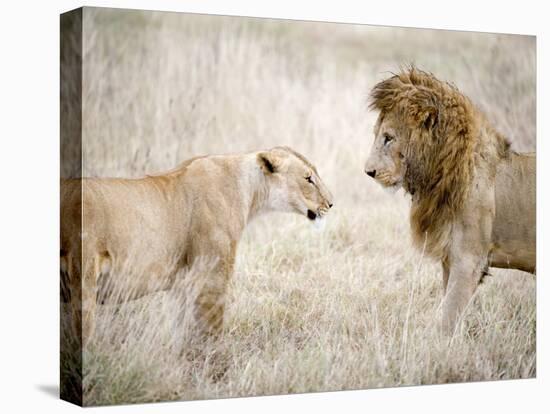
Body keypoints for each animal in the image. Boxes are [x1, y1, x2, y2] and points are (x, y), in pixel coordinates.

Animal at [62, 147, 334, 344]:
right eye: (308, 178)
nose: (331, 204)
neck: (249, 191)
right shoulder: (212, 277)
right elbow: (211, 332)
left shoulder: (183, 284)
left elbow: (182, 332)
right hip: (84, 283)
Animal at [364, 68, 536, 334]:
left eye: (388, 138)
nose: (368, 172)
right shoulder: (450, 258)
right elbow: (448, 308)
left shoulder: (469, 260)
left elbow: (448, 317)